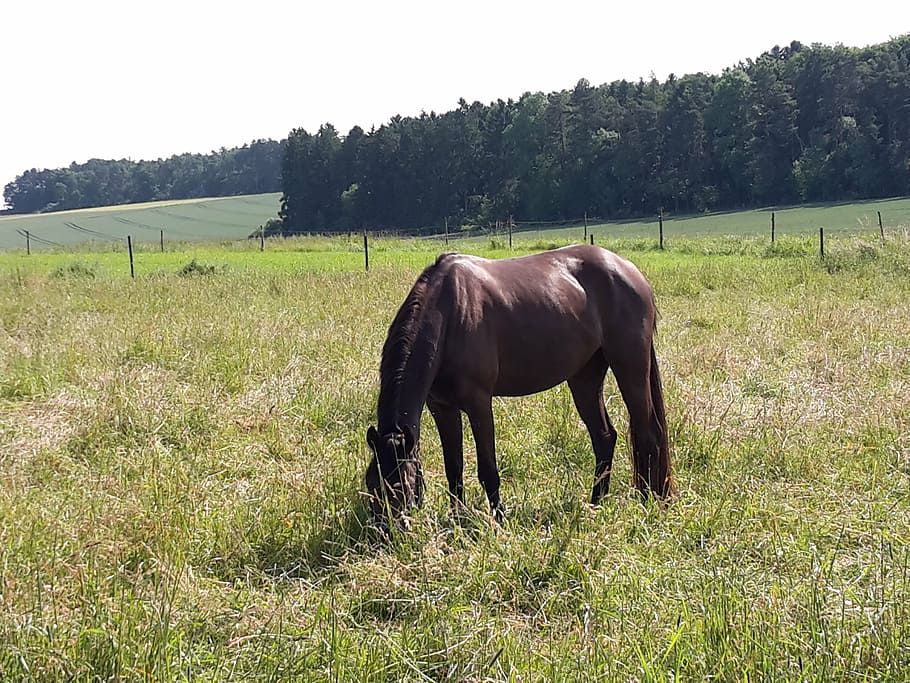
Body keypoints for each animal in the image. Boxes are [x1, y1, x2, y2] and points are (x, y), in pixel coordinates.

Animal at [364, 244, 674, 530]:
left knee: (648, 434)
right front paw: (458, 521)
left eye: (401, 487)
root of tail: (629, 270)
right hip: (585, 378)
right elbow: (454, 468)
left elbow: (488, 469)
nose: (386, 534)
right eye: (371, 483)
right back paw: (596, 503)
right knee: (604, 437)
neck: (449, 314)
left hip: (630, 367)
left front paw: (499, 522)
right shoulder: (441, 407)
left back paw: (649, 504)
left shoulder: (478, 403)